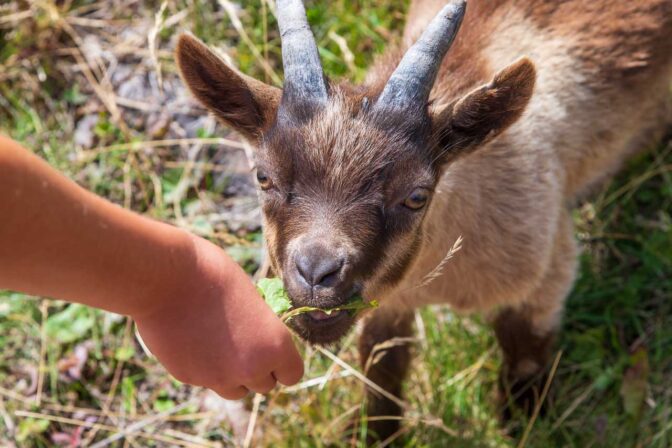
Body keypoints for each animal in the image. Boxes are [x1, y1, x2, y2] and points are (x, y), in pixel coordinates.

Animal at [175, 0, 672, 440]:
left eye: (416, 196)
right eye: (263, 176)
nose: (316, 275)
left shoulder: (547, 270)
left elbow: (525, 358)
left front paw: (526, 428)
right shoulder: (388, 298)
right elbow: (383, 365)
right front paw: (378, 435)